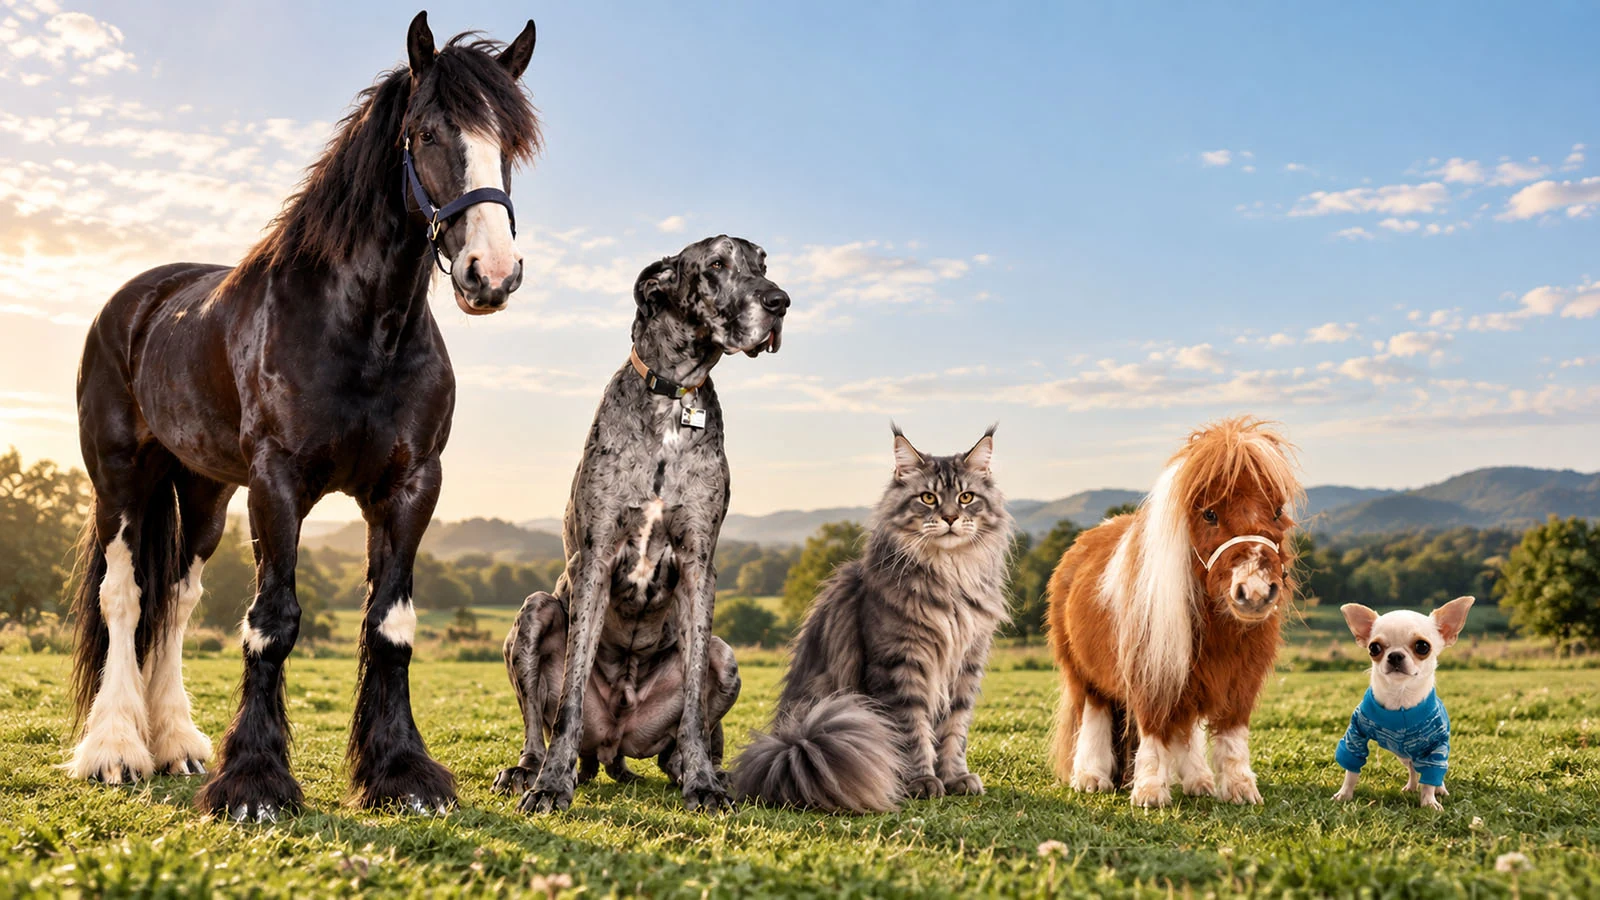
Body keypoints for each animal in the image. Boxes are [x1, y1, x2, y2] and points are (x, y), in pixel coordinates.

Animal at [65, 11, 541, 821]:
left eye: (508, 145)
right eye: (427, 133)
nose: (493, 274)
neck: (363, 329)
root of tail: (135, 302)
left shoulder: (411, 486)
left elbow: (390, 624)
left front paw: (401, 773)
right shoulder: (279, 484)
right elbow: (272, 622)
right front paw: (254, 784)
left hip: (202, 495)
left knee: (178, 601)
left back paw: (176, 745)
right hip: (120, 481)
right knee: (124, 597)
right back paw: (117, 750)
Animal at [1044, 417, 1302, 808]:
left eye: (1276, 511)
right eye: (1209, 513)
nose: (1255, 592)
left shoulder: (1240, 676)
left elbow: (1231, 736)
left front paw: (1240, 789)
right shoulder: (1151, 670)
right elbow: (1153, 730)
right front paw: (1150, 792)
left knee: (1184, 728)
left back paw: (1199, 781)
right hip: (1083, 673)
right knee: (1095, 716)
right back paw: (1091, 777)